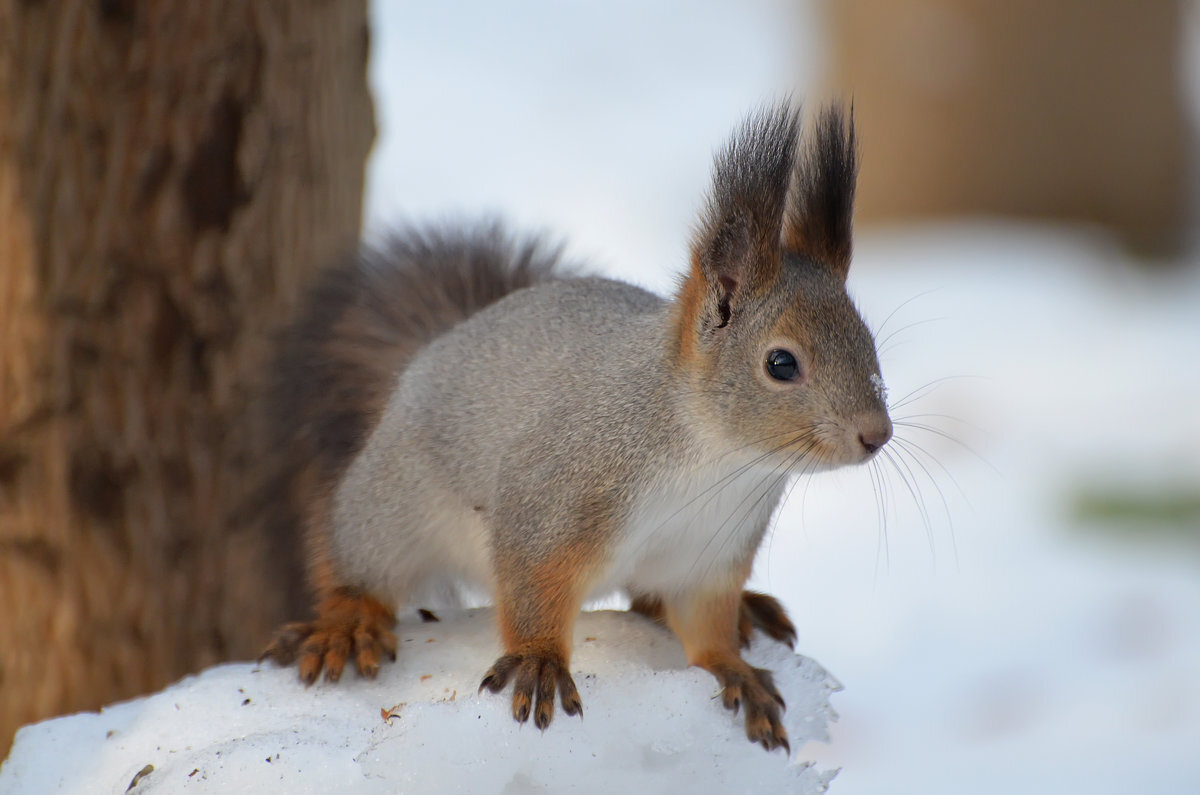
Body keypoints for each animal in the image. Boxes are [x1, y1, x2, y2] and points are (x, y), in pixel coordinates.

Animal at [262, 102, 897, 758]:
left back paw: (748, 610)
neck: (717, 460)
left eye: (868, 343)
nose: (876, 434)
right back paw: (348, 622)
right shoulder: (552, 499)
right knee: (356, 563)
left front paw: (734, 670)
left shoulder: (708, 555)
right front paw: (539, 661)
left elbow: (707, 625)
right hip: (391, 504)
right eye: (781, 364)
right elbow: (532, 589)